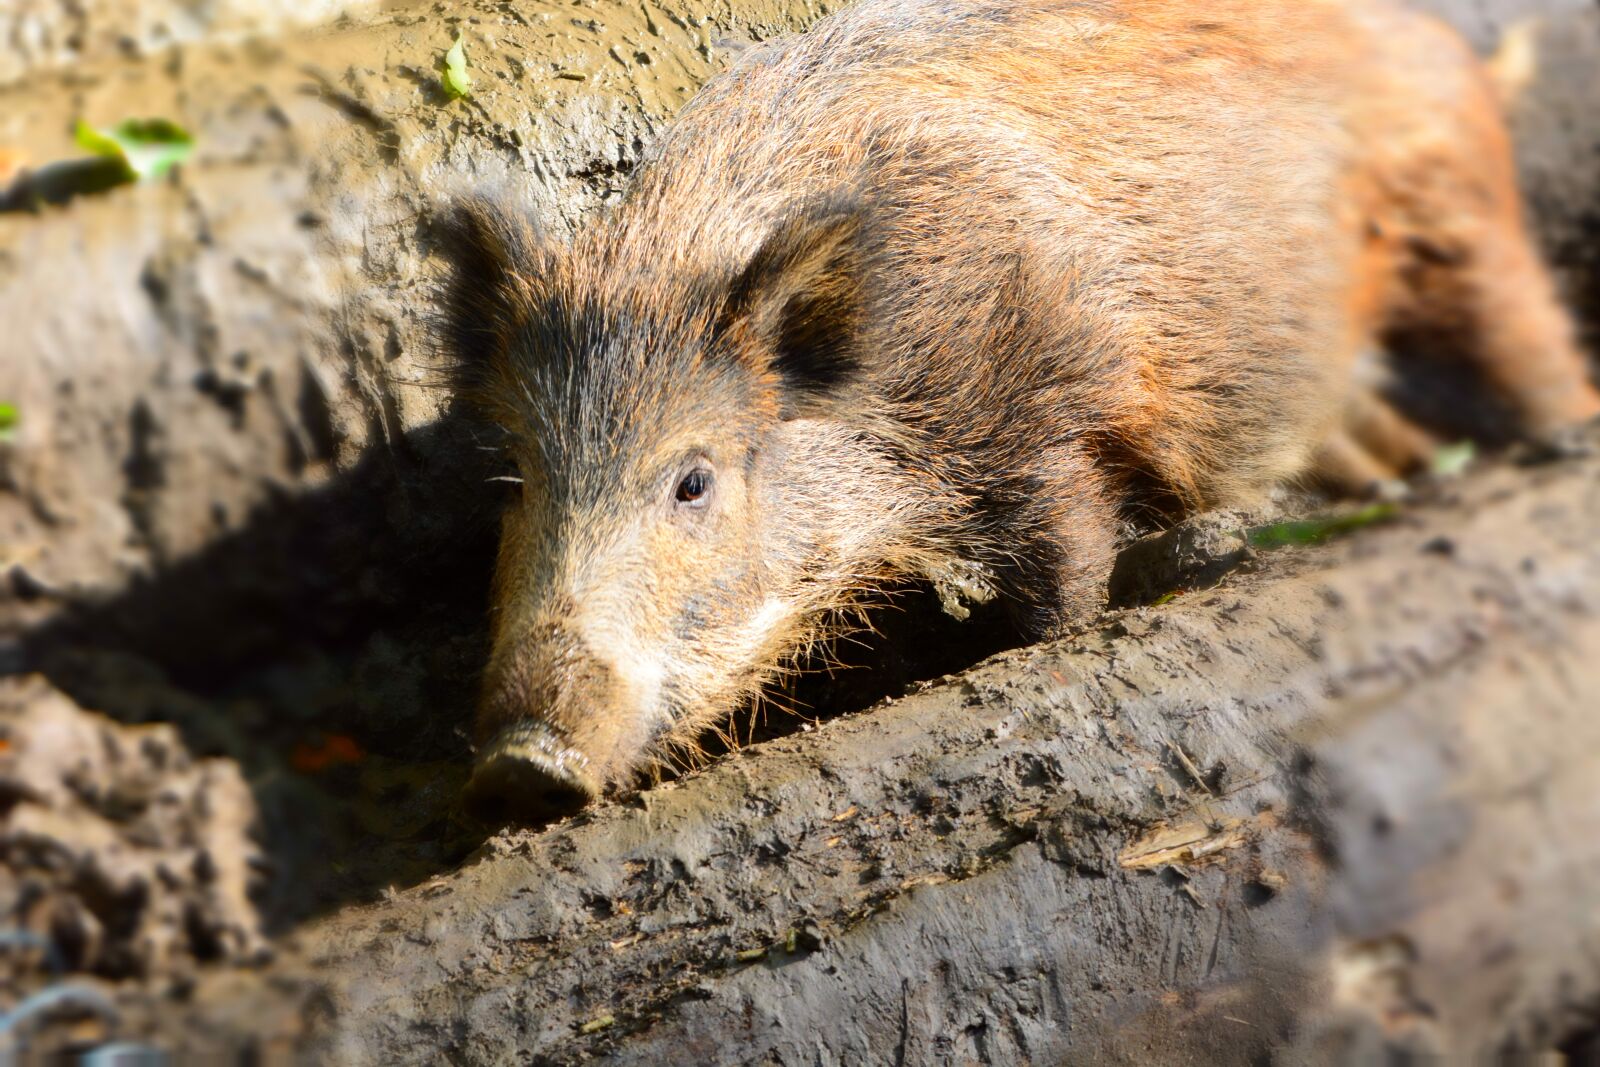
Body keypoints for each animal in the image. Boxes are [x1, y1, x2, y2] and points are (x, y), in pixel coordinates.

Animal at [443, 0, 1600, 821]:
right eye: (517, 480)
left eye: (693, 478)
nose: (521, 763)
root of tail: (1435, 39)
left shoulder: (1052, 417)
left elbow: (1064, 567)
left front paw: (1042, 635)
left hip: (1459, 220)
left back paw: (1554, 444)